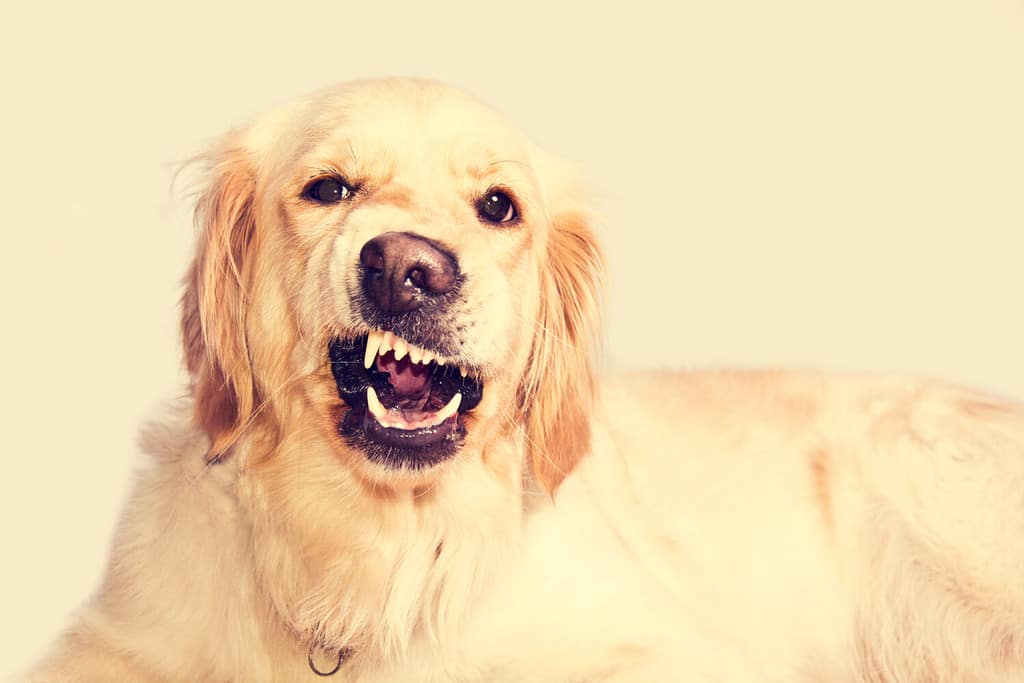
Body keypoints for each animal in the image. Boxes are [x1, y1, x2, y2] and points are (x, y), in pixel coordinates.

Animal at [24, 77, 1024, 679]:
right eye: (330, 188)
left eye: (498, 206)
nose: (409, 268)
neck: (364, 557)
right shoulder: (114, 640)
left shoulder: (672, 647)